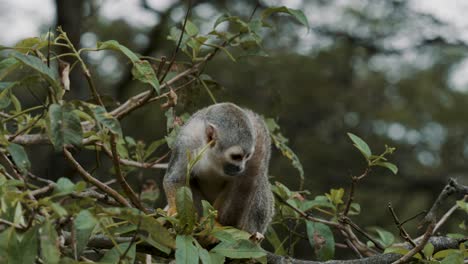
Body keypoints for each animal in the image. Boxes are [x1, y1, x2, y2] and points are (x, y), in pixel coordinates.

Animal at [165, 102, 274, 234]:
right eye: (236, 157)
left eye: (247, 156)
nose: (240, 168)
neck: (211, 154)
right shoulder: (186, 140)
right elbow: (175, 179)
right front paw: (176, 212)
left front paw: (215, 224)